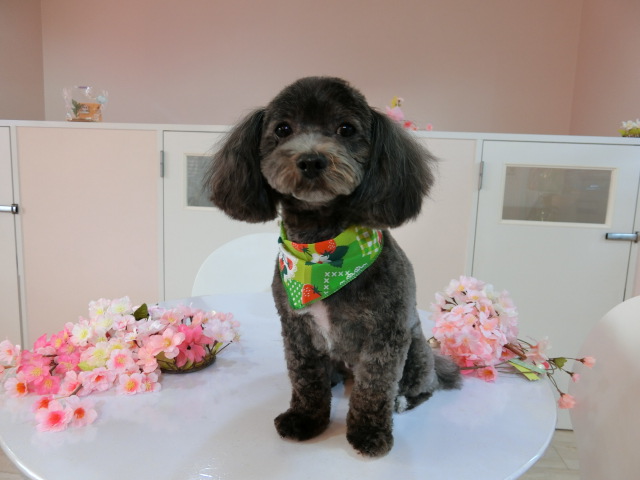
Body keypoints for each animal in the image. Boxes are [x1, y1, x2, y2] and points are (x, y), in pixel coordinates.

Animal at [205, 76, 461, 457]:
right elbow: (306, 379)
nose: (311, 160)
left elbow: (374, 388)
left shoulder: (385, 335)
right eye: (282, 129)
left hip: (416, 348)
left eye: (346, 129)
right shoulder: (297, 330)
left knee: (424, 386)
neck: (320, 249)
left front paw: (369, 432)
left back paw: (402, 400)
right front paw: (306, 419)